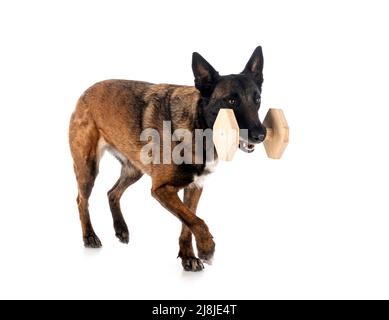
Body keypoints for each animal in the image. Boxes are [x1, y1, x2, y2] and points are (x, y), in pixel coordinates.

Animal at [68, 45, 266, 270]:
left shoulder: (194, 188)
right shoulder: (161, 189)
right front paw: (206, 249)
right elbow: (197, 221)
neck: (198, 126)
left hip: (133, 170)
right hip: (88, 168)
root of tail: (86, 91)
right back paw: (89, 236)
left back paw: (121, 228)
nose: (261, 135)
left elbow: (188, 222)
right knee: (81, 200)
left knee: (112, 193)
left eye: (257, 99)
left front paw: (188, 256)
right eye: (231, 101)